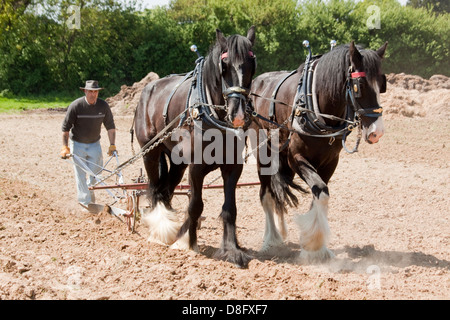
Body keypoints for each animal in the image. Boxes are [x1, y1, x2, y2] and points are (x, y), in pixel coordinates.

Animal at [134, 26, 256, 268]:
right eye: (224, 65)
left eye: (252, 63)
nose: (238, 114)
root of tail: (148, 89)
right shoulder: (196, 167)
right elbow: (195, 205)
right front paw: (186, 243)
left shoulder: (233, 167)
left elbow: (230, 208)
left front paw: (232, 250)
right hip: (150, 153)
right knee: (155, 190)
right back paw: (160, 230)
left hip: (177, 162)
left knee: (166, 190)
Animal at [251, 40, 388, 262]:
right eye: (359, 86)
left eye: (382, 84)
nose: (377, 132)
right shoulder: (296, 158)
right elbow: (321, 192)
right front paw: (314, 245)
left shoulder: (330, 162)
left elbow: (319, 195)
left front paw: (315, 247)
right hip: (263, 154)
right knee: (266, 195)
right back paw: (271, 240)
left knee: (278, 192)